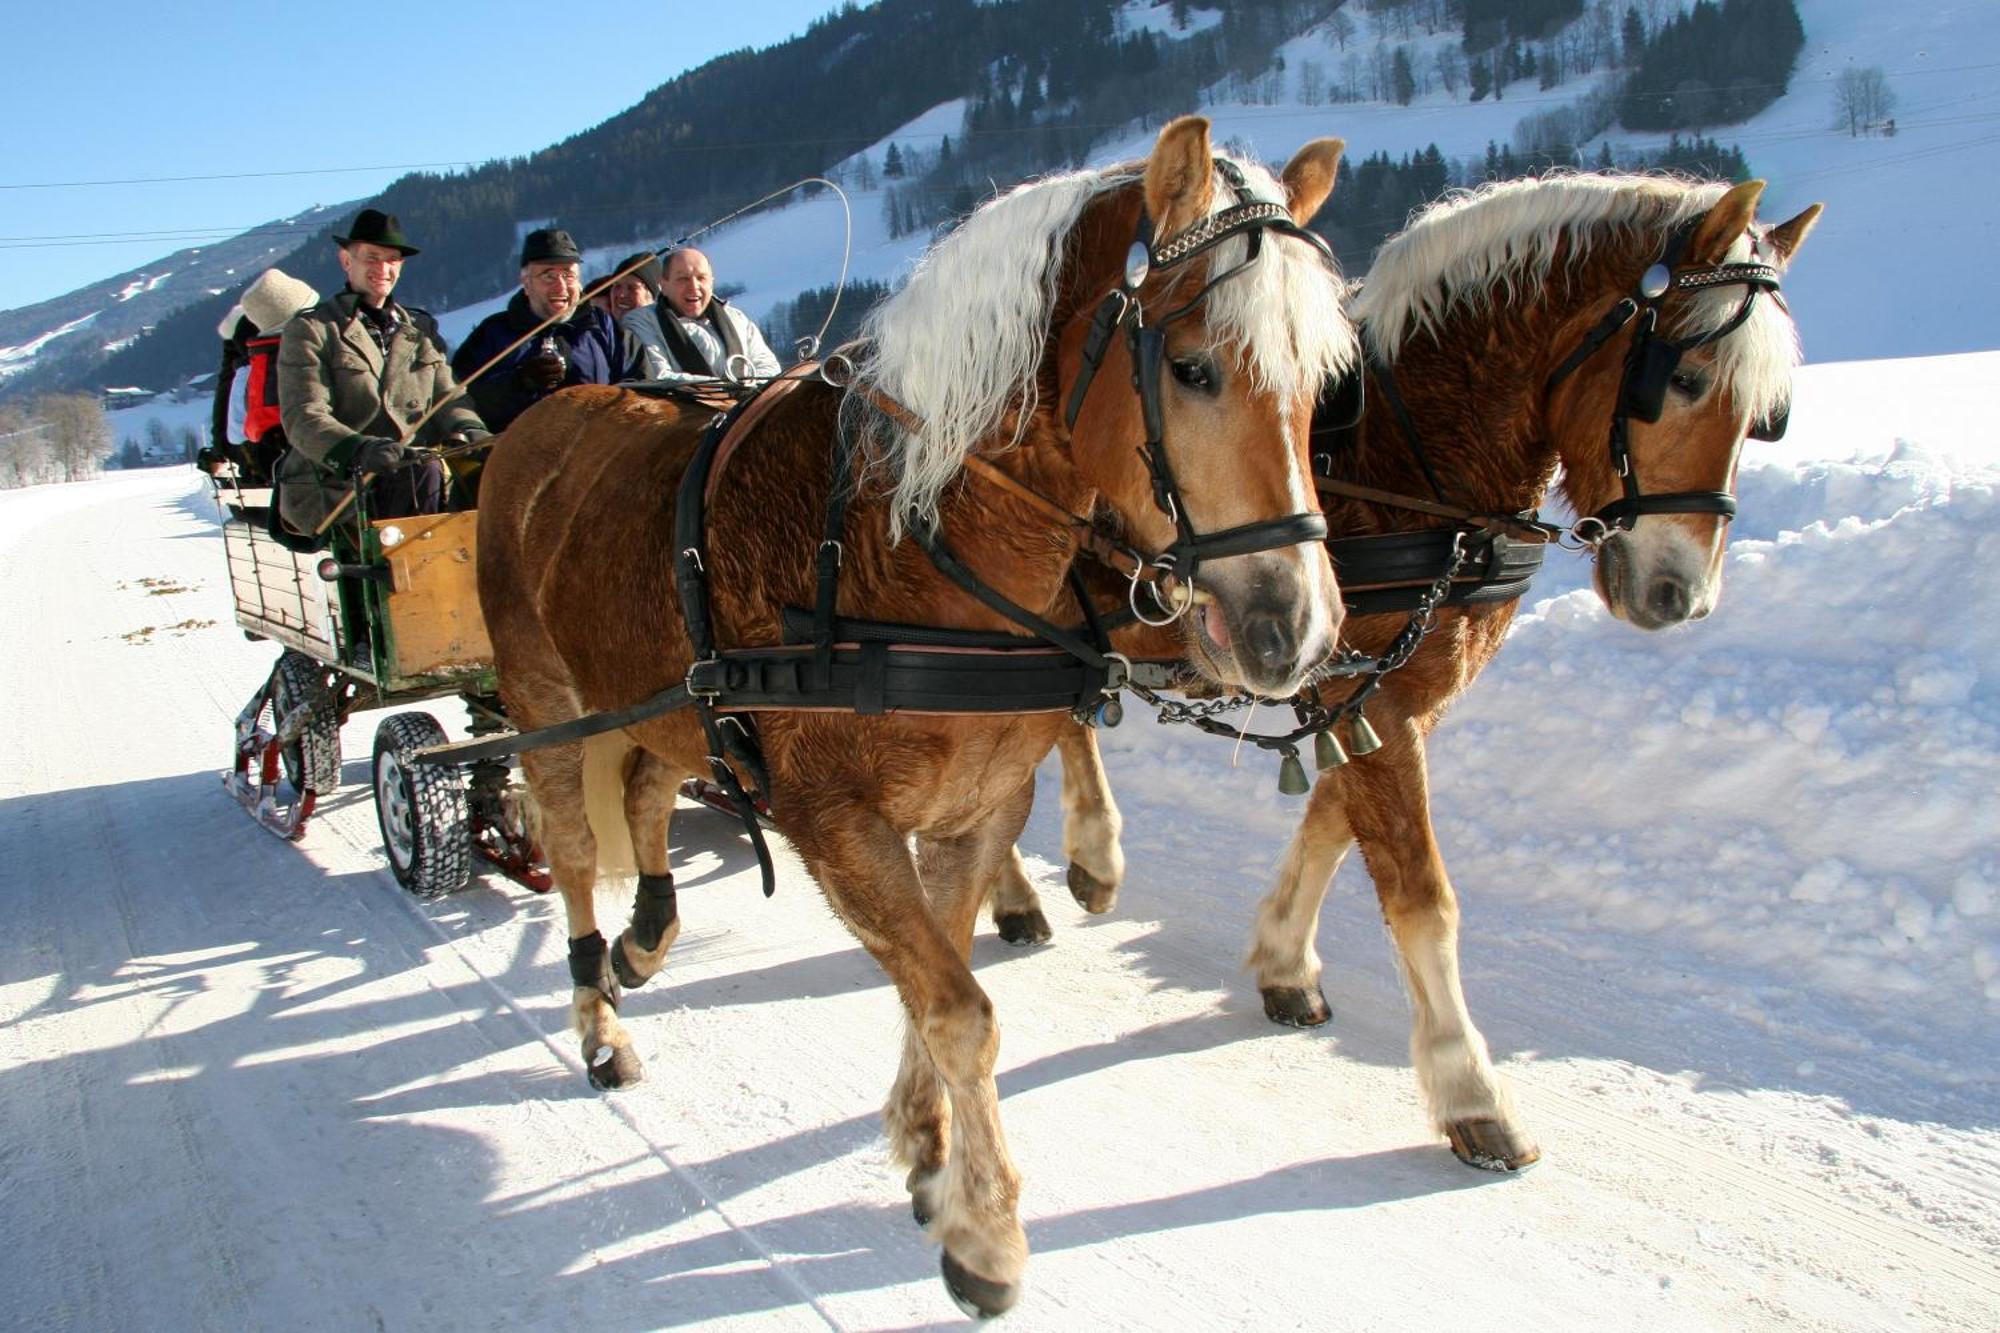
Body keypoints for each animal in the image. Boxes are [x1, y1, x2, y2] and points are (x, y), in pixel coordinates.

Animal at [474, 119, 1352, 1312]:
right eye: (1190, 367)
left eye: (1324, 378)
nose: (1292, 628)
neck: (905, 537)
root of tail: (541, 417)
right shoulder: (837, 821)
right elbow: (957, 1009)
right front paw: (986, 1233)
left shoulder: (978, 806)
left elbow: (934, 975)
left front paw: (925, 1144)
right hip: (544, 698)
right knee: (569, 849)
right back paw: (599, 1019)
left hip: (669, 700)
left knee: (651, 784)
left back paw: (647, 939)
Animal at [992, 169, 1824, 1176]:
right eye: (1686, 379)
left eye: (1769, 416)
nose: (1681, 593)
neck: (1405, 453)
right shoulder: (1369, 693)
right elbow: (1420, 892)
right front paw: (1473, 1092)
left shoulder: (1380, 692)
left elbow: (1331, 821)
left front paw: (1284, 960)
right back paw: (1060, 867)